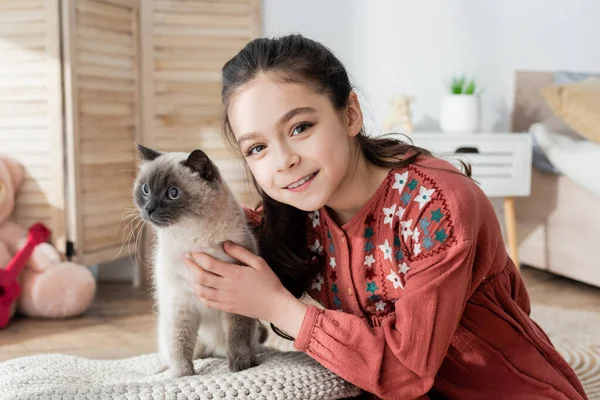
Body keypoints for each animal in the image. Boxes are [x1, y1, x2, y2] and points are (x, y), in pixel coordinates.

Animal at [135, 145, 266, 378]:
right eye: (146, 190)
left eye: (173, 193)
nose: (148, 208)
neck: (191, 238)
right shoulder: (180, 304)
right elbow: (180, 345)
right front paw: (183, 375)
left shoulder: (235, 298)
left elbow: (237, 336)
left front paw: (241, 365)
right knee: (184, 352)